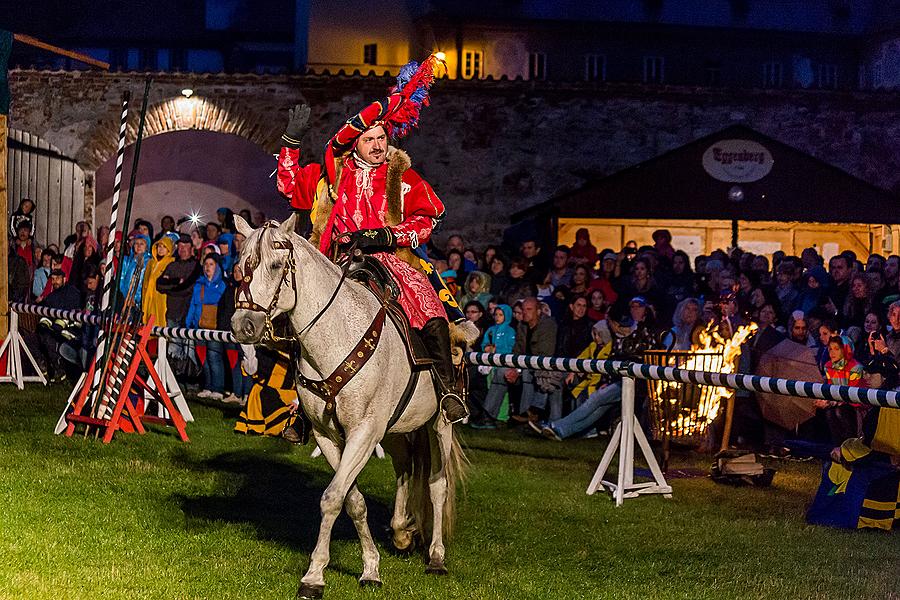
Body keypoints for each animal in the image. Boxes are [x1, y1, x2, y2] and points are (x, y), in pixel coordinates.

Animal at [229, 213, 468, 596]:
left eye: (277, 264)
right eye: (241, 266)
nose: (244, 325)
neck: (335, 336)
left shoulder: (363, 432)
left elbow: (332, 498)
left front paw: (313, 577)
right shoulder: (329, 435)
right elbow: (350, 500)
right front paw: (369, 567)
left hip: (439, 425)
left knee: (437, 484)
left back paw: (436, 558)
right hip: (397, 430)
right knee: (404, 469)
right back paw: (401, 532)